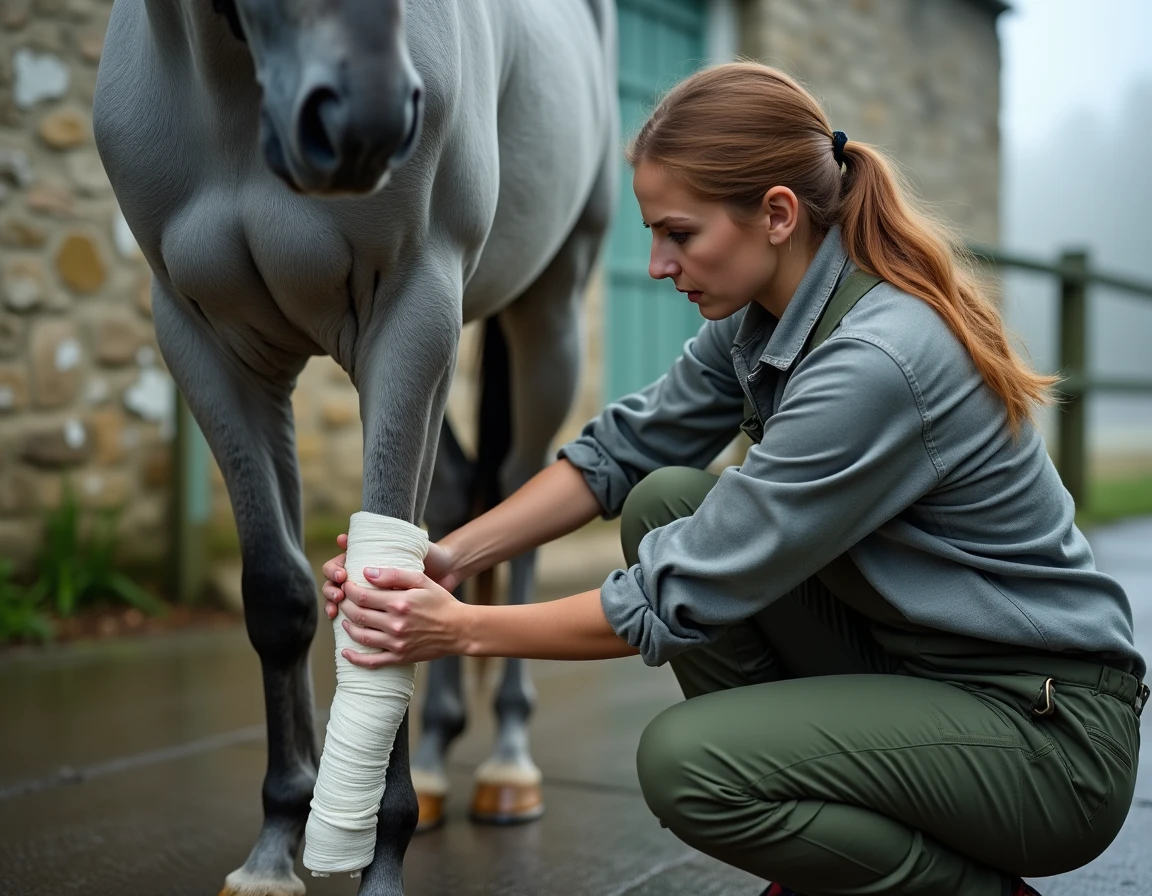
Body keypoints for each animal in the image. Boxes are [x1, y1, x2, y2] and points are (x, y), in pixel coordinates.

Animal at [92, 0, 618, 891]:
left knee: (522, 486)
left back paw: (508, 763)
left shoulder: (412, 317)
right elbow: (282, 594)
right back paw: (436, 761)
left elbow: (390, 586)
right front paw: (275, 846)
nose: (366, 121)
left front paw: (378, 856)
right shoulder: (206, 344)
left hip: (548, 309)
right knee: (460, 501)